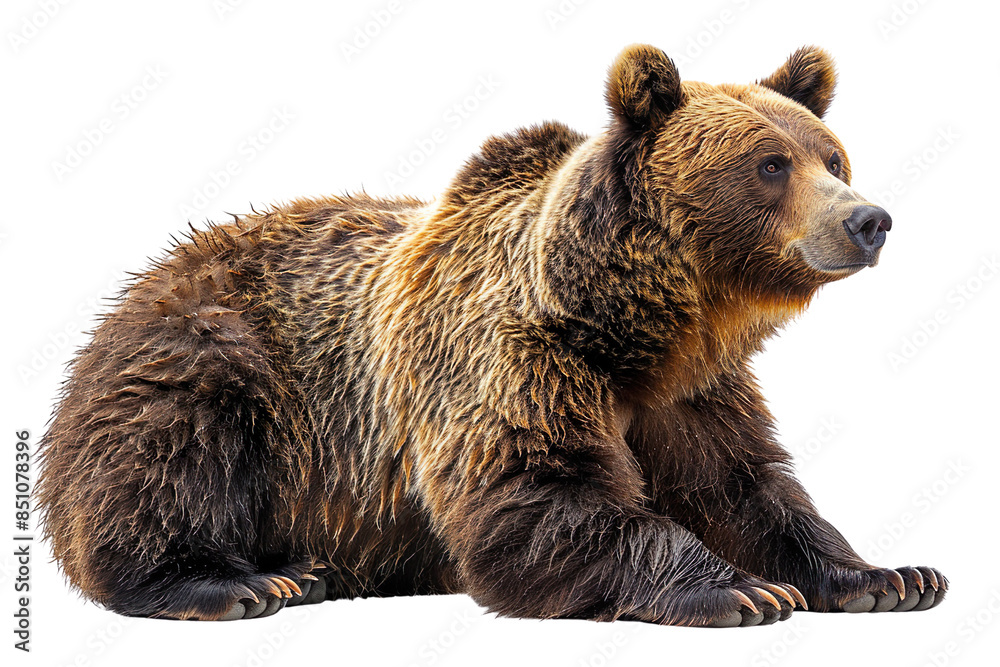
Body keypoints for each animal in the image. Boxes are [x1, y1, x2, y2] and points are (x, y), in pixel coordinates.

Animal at [38, 44, 947, 627]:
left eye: (832, 155)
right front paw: (738, 591)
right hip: (216, 353)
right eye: (769, 164)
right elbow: (536, 492)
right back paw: (239, 582)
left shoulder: (693, 393)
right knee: (171, 447)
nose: (868, 219)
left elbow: (747, 487)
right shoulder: (512, 358)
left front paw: (887, 575)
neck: (640, 327)